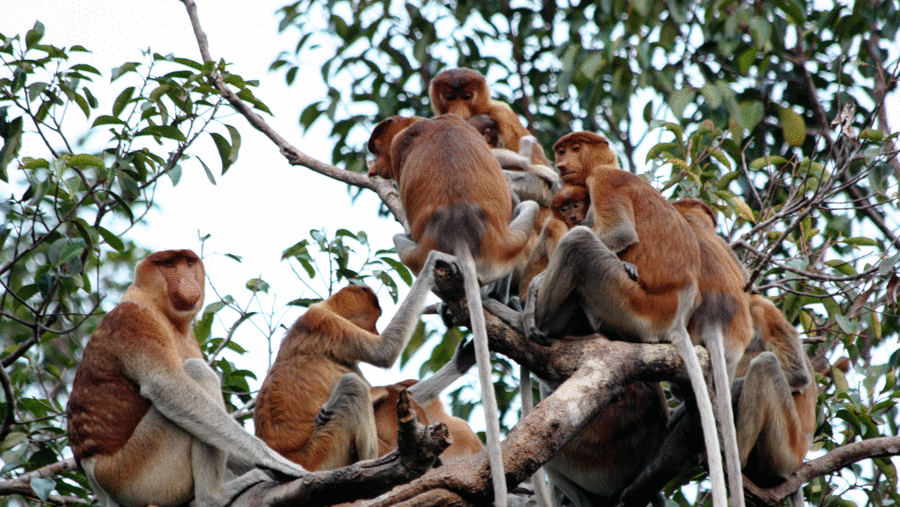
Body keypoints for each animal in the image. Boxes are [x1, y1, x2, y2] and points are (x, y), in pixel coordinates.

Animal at [66, 250, 306, 507]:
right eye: (170, 265)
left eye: (189, 263)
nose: (188, 281)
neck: (158, 308)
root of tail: (95, 476)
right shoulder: (133, 321)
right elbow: (165, 385)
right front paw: (276, 461)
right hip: (134, 474)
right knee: (196, 372)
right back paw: (214, 495)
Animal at [253, 272, 450, 470]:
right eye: (376, 319)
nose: (376, 332)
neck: (327, 307)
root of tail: (292, 458)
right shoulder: (326, 322)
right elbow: (384, 352)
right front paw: (430, 270)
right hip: (322, 453)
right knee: (354, 385)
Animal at [368, 115, 540, 507]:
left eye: (375, 147)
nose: (371, 169)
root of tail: (459, 229)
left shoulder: (400, 146)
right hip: (506, 244)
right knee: (522, 208)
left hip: (420, 252)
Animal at [520, 133, 740, 507]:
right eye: (561, 151)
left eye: (575, 148)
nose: (561, 161)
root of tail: (676, 317)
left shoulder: (604, 182)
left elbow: (619, 234)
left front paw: (534, 286)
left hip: (629, 305)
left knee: (579, 243)